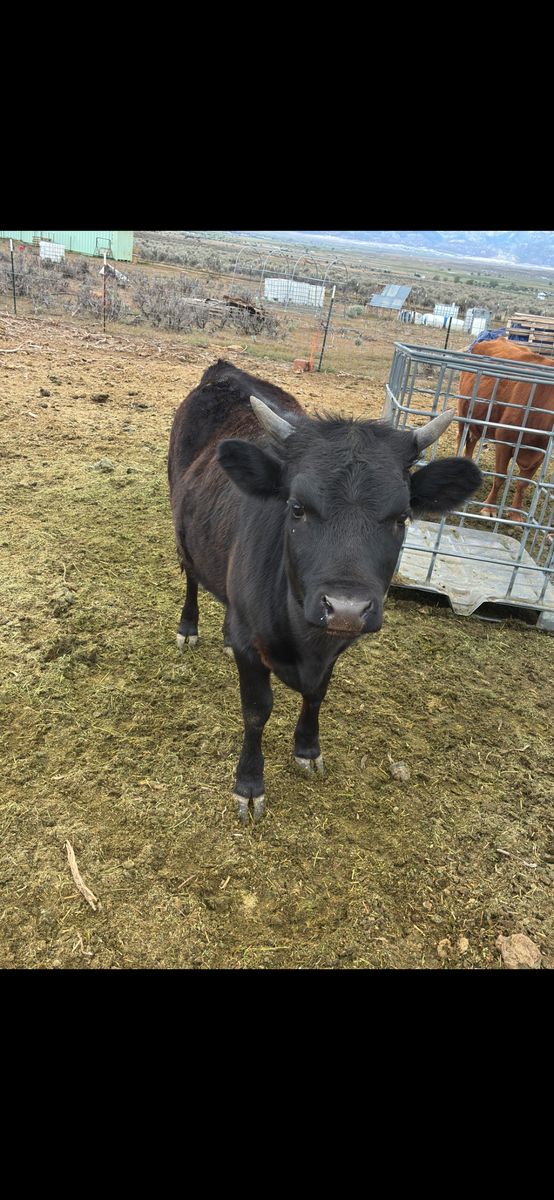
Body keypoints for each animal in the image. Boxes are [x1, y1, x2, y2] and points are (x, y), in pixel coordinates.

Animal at [169, 360, 481, 823]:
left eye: (402, 517)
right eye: (297, 507)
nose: (346, 608)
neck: (304, 640)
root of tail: (224, 371)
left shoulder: (335, 647)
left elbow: (317, 695)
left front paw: (307, 748)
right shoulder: (252, 648)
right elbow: (256, 710)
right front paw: (249, 784)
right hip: (182, 526)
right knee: (190, 574)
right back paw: (188, 627)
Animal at [457, 337, 554, 519]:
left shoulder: (540, 454)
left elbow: (523, 483)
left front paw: (515, 514)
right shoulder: (504, 440)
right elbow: (500, 476)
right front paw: (489, 508)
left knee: (472, 441)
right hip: (463, 410)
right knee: (461, 439)